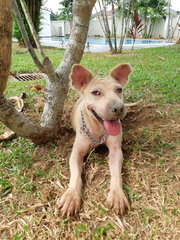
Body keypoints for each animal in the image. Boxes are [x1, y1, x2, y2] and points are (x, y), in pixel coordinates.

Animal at [58, 63, 132, 216]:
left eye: (119, 89)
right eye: (96, 92)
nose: (118, 108)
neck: (98, 129)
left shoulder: (116, 151)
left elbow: (116, 173)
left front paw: (117, 194)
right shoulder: (76, 153)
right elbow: (75, 174)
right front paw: (71, 196)